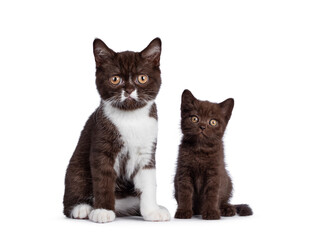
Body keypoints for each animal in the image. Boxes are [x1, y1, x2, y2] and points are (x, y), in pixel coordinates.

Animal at [63, 37, 171, 223]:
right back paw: (83, 208)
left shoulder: (147, 150)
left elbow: (149, 182)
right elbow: (103, 179)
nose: (129, 89)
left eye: (142, 78)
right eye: (115, 79)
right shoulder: (101, 143)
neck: (131, 117)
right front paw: (103, 211)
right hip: (75, 168)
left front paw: (152, 211)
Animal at [174, 90, 254, 219]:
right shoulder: (184, 170)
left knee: (223, 200)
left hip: (228, 182)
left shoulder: (215, 172)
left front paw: (211, 212)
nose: (202, 126)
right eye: (195, 118)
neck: (200, 150)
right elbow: (185, 192)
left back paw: (227, 209)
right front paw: (183, 211)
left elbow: (212, 193)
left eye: (213, 122)